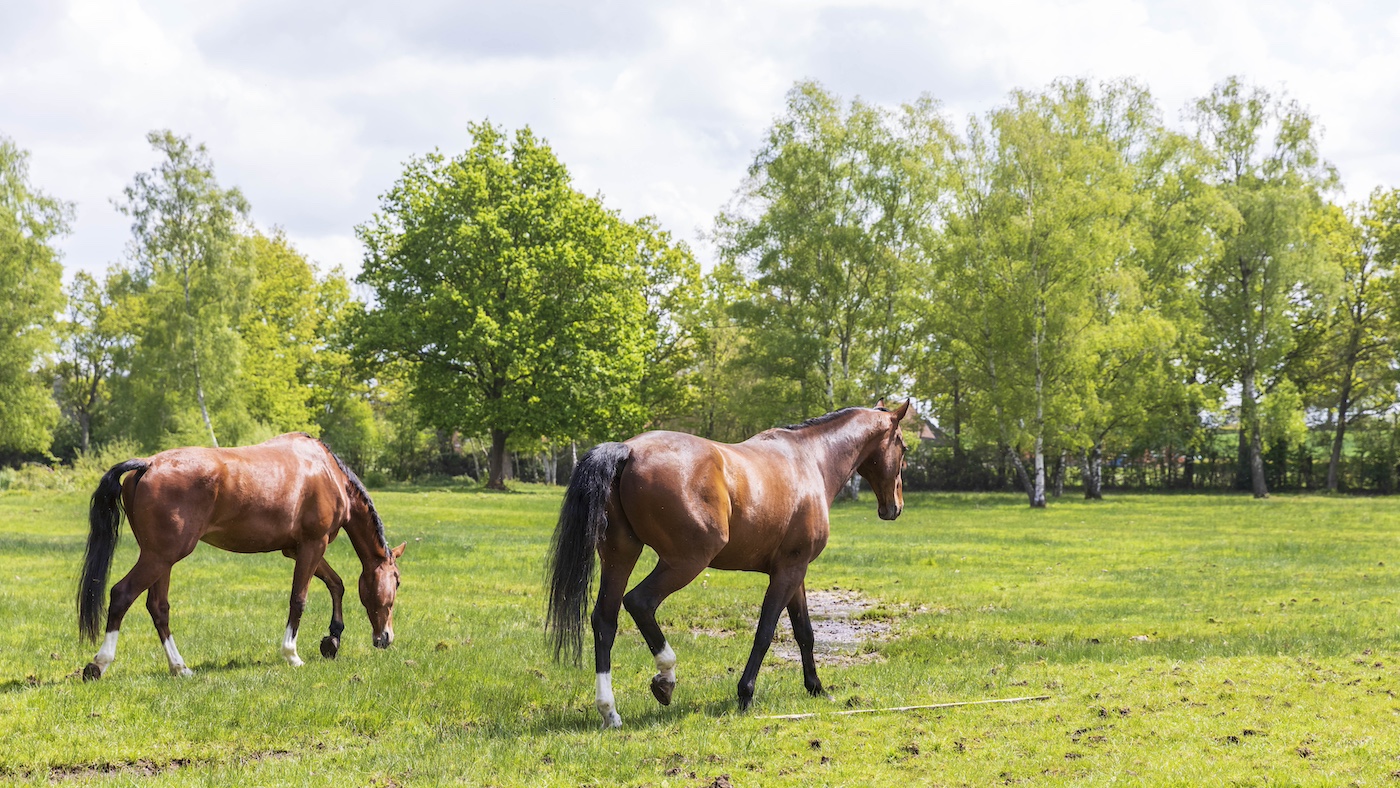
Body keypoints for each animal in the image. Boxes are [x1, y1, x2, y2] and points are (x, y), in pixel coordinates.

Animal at [76, 432, 405, 680]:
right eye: (397, 581)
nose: (386, 638)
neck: (326, 472)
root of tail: (148, 464)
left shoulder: (298, 548)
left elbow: (337, 584)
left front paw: (332, 640)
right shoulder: (314, 545)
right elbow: (299, 599)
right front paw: (292, 654)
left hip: (161, 559)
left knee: (158, 607)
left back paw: (180, 668)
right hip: (158, 557)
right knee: (122, 594)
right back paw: (99, 664)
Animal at [547, 401, 910, 728]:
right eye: (903, 447)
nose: (895, 508)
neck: (811, 459)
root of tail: (629, 450)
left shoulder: (795, 571)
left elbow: (804, 633)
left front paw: (816, 689)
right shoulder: (788, 572)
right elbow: (765, 632)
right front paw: (745, 693)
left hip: (620, 555)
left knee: (604, 620)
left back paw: (609, 711)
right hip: (686, 561)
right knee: (639, 602)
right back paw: (666, 678)